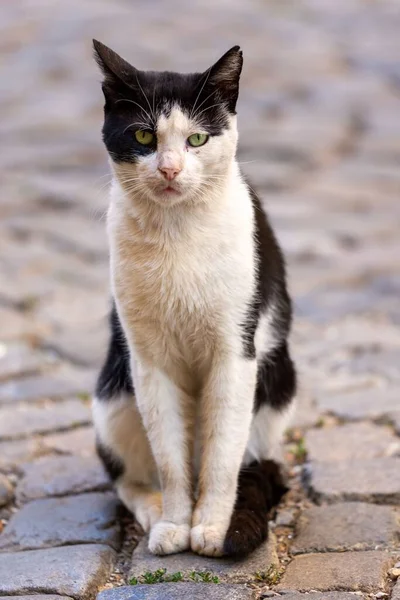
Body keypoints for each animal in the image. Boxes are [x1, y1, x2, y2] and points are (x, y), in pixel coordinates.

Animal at [92, 41, 296, 556]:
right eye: (144, 135)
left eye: (197, 140)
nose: (169, 168)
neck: (177, 232)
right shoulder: (148, 360)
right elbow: (170, 458)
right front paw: (175, 522)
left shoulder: (235, 352)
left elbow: (222, 454)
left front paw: (212, 526)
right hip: (113, 397)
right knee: (126, 478)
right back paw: (152, 511)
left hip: (278, 381)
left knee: (248, 456)